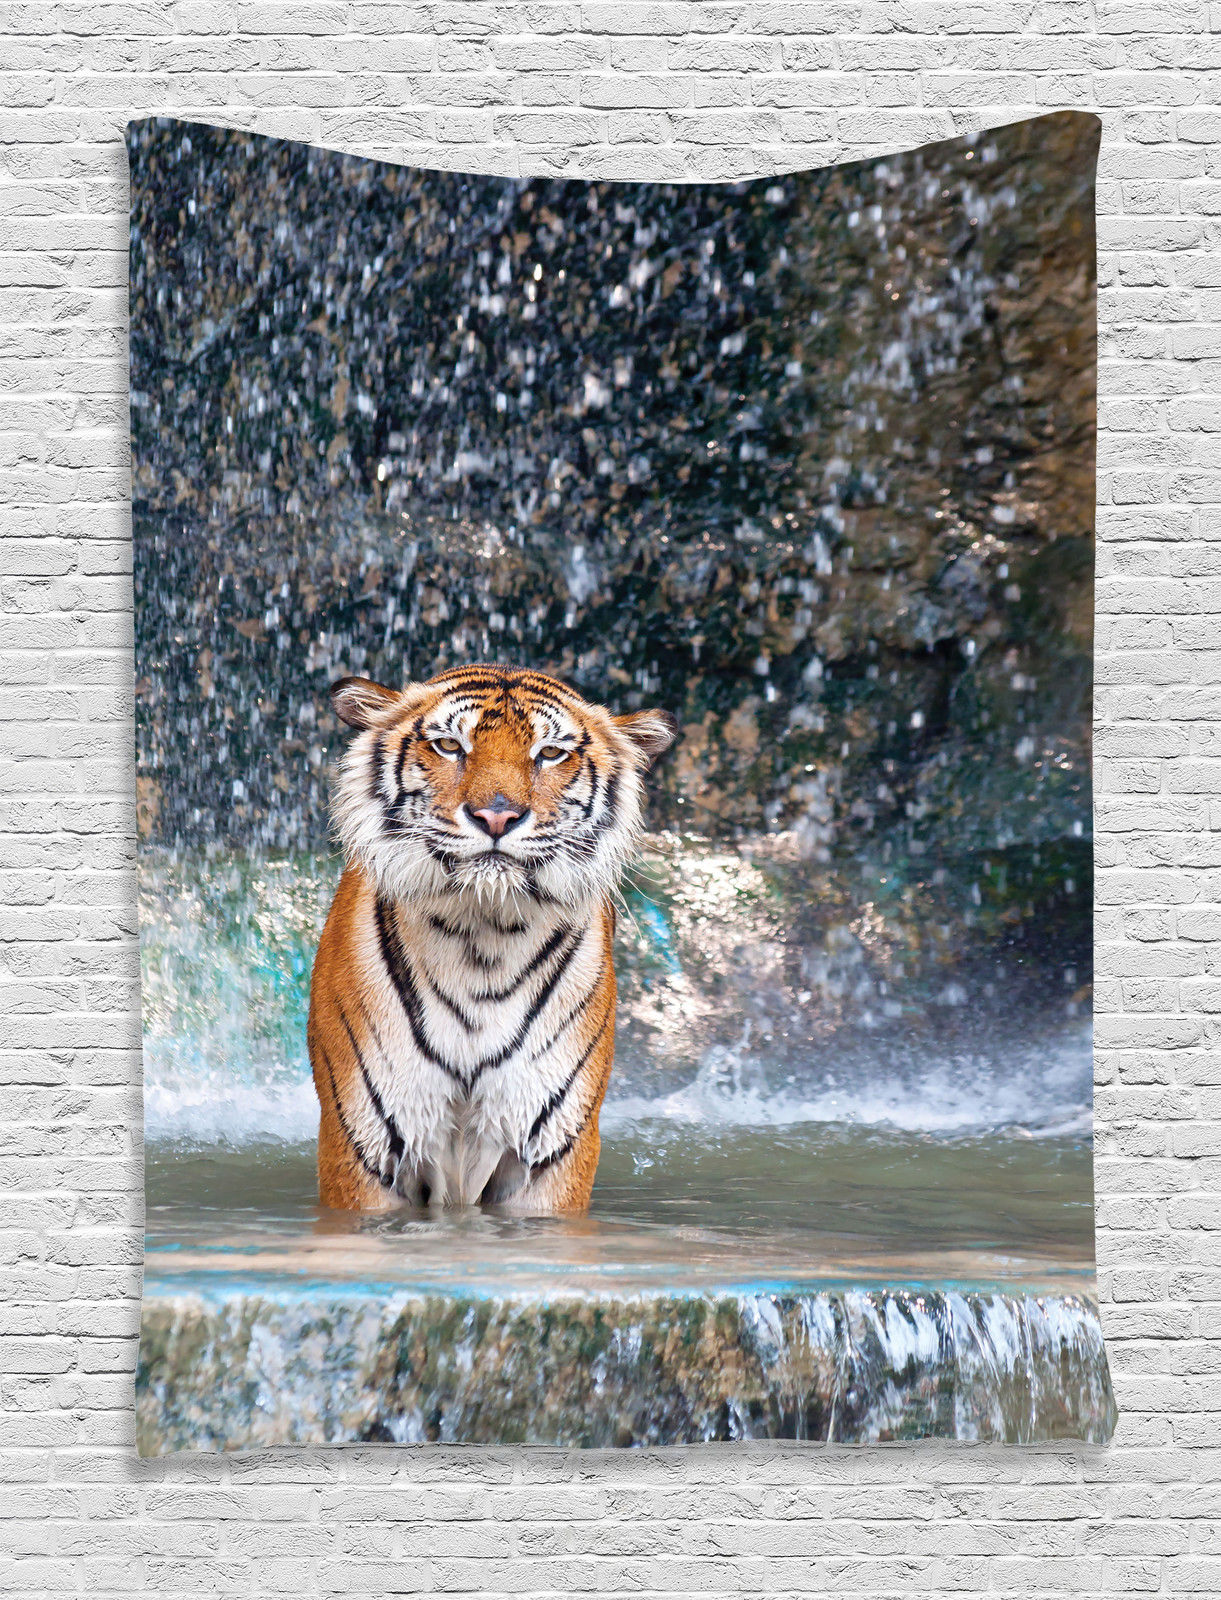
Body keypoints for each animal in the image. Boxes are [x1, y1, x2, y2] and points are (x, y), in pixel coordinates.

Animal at [307, 663, 676, 1215]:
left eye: (550, 753)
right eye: (449, 746)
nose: (497, 816)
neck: (482, 937)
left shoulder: (550, 1150)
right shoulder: (362, 1143)